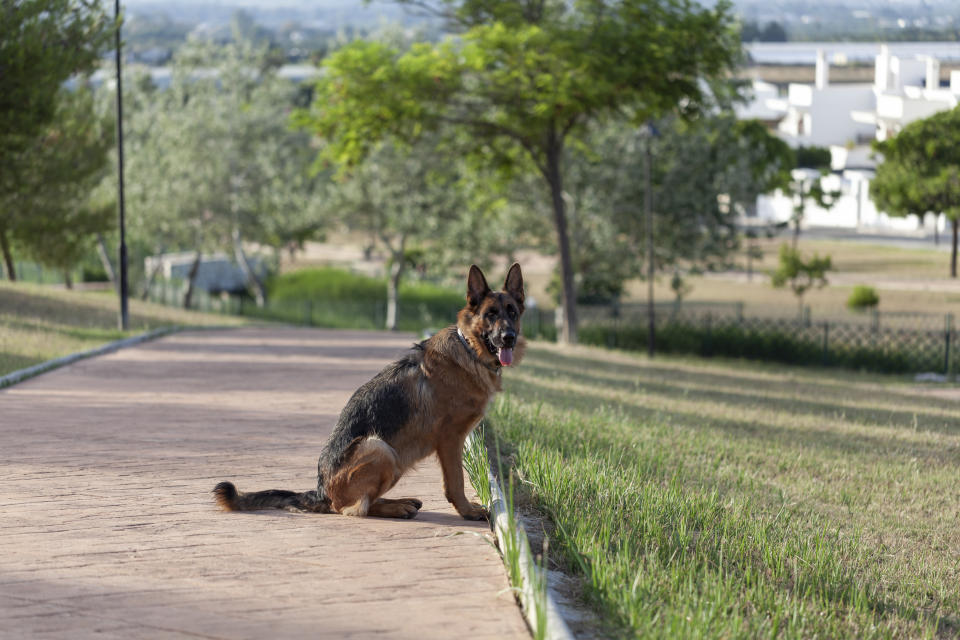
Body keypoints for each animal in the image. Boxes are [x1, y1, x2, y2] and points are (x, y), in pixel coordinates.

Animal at [214, 262, 524, 516]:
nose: (509, 337)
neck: (468, 348)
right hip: (381, 448)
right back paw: (397, 507)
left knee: (361, 503)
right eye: (490, 314)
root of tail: (321, 493)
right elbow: (456, 483)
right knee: (354, 509)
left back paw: (402, 503)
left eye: (512, 313)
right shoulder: (450, 440)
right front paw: (467, 511)